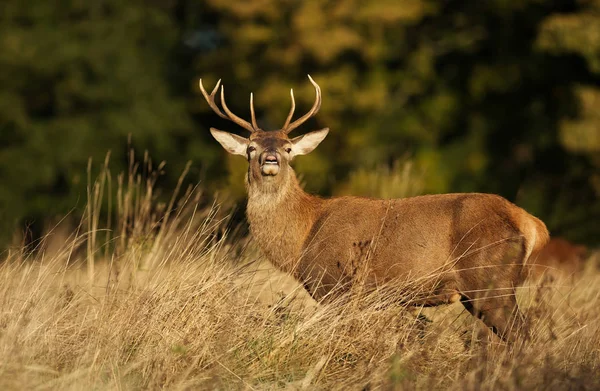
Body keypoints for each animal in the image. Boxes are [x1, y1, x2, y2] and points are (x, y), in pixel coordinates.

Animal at [199, 74, 552, 344]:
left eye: (287, 148)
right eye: (251, 147)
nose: (270, 158)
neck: (303, 237)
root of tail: (532, 224)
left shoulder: (337, 287)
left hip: (491, 280)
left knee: (525, 337)